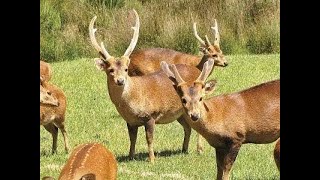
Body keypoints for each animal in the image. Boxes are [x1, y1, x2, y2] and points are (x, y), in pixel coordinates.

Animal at [87, 9, 209, 162]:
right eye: (110, 70)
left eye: (126, 69)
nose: (120, 81)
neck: (132, 102)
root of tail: (197, 71)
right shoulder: (130, 121)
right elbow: (132, 139)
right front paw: (130, 156)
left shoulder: (150, 115)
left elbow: (149, 138)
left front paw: (151, 159)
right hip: (181, 113)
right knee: (187, 127)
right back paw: (184, 149)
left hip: (197, 100)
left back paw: (199, 149)